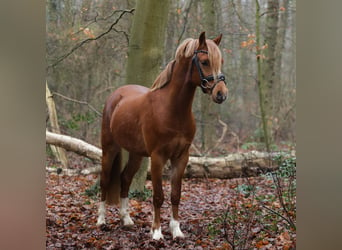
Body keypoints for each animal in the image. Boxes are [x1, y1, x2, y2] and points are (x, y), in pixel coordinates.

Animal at [96, 32, 228, 239]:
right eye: (205, 62)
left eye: (220, 61)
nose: (221, 94)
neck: (172, 109)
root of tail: (116, 96)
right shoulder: (158, 157)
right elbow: (158, 196)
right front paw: (157, 232)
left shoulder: (181, 157)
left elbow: (175, 194)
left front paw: (176, 230)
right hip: (109, 148)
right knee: (105, 180)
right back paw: (101, 220)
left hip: (136, 154)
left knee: (125, 178)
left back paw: (126, 219)